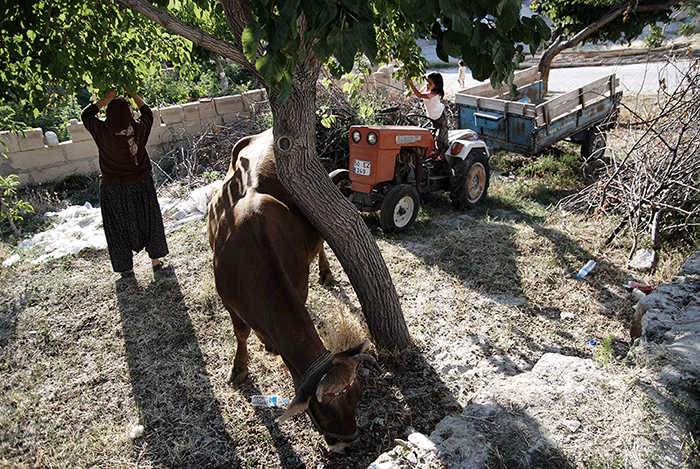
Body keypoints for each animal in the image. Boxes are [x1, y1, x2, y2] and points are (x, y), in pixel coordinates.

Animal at [206, 128, 372, 450]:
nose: (348, 443)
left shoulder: (299, 286)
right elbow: (241, 333)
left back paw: (326, 272)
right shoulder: (229, 301)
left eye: (357, 398)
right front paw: (239, 368)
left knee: (320, 244)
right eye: (325, 411)